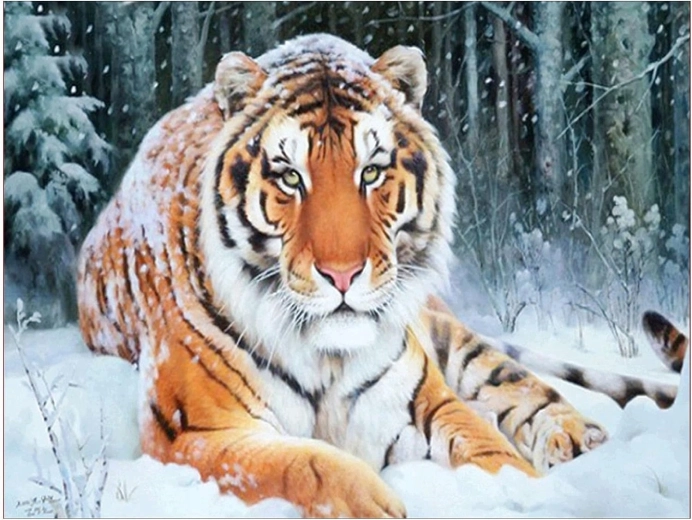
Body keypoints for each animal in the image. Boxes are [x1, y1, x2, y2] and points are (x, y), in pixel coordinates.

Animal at [78, 34, 610, 518]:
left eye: (371, 172)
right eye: (290, 177)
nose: (342, 275)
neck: (326, 358)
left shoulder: (424, 401)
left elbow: (490, 449)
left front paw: (533, 495)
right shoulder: (193, 432)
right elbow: (305, 465)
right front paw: (377, 504)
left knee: (513, 379)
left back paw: (579, 438)